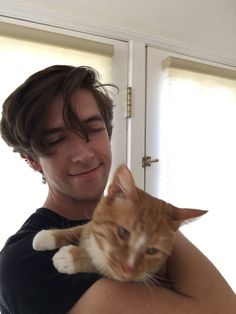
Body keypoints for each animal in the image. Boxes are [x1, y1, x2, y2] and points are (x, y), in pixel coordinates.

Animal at [33, 164, 206, 282]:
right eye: (123, 232)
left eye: (152, 250)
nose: (128, 268)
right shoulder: (90, 226)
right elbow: (80, 228)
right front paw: (48, 236)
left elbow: (102, 264)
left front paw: (71, 257)